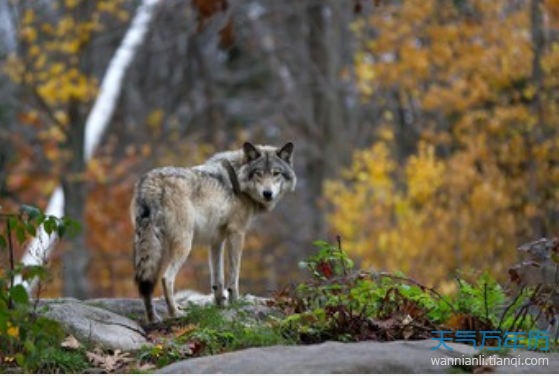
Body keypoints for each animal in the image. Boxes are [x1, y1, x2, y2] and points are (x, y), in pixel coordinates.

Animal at [132, 142, 298, 322]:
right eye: (258, 173)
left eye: (276, 173)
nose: (268, 194)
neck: (238, 180)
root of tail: (153, 181)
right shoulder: (237, 232)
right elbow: (234, 275)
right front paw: (235, 302)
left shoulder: (217, 240)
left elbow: (217, 279)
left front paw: (220, 304)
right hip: (184, 244)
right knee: (166, 278)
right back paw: (175, 313)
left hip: (151, 246)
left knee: (147, 282)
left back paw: (153, 318)